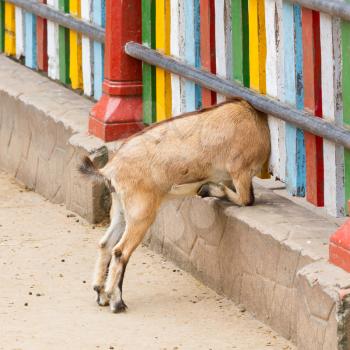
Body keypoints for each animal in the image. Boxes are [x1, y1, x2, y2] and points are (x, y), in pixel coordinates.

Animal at [79, 100, 270, 314]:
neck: (251, 117)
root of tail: (109, 170)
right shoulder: (240, 171)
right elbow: (246, 199)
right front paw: (206, 188)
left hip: (121, 209)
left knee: (106, 244)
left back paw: (101, 294)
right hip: (141, 212)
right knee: (120, 251)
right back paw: (117, 302)